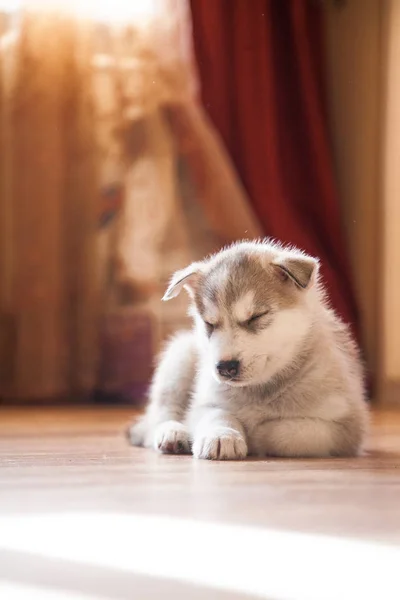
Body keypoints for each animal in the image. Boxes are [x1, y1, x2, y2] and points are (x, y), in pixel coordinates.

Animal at [128, 239, 368, 460]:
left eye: (255, 317)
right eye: (209, 324)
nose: (225, 367)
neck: (260, 389)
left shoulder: (341, 427)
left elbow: (285, 431)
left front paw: (252, 431)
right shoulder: (207, 401)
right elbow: (218, 415)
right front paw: (222, 436)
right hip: (179, 358)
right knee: (159, 415)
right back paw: (174, 433)